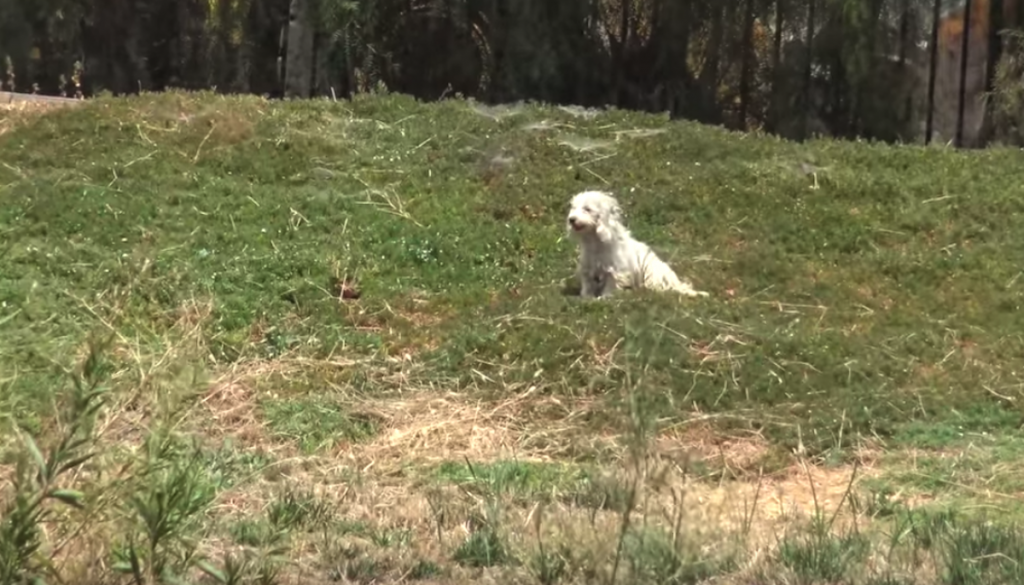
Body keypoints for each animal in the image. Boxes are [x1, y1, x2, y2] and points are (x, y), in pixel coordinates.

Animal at [565, 191, 708, 299]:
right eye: (573, 208)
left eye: (587, 209)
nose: (571, 219)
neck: (595, 242)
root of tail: (674, 281)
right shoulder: (587, 268)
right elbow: (587, 284)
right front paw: (586, 297)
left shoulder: (615, 270)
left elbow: (611, 284)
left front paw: (605, 297)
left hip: (652, 273)